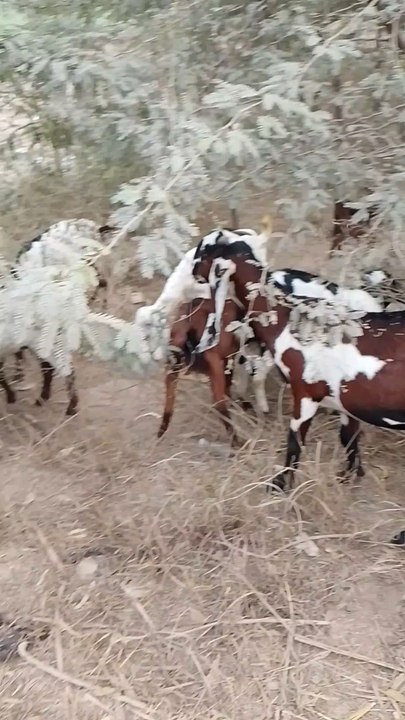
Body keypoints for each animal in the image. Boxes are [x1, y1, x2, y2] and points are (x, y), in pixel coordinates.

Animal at [192, 241, 405, 492]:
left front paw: (279, 485)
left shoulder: (306, 393)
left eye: (204, 254)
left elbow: (294, 440)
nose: (193, 272)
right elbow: (348, 437)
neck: (289, 320)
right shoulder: (344, 401)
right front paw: (350, 476)